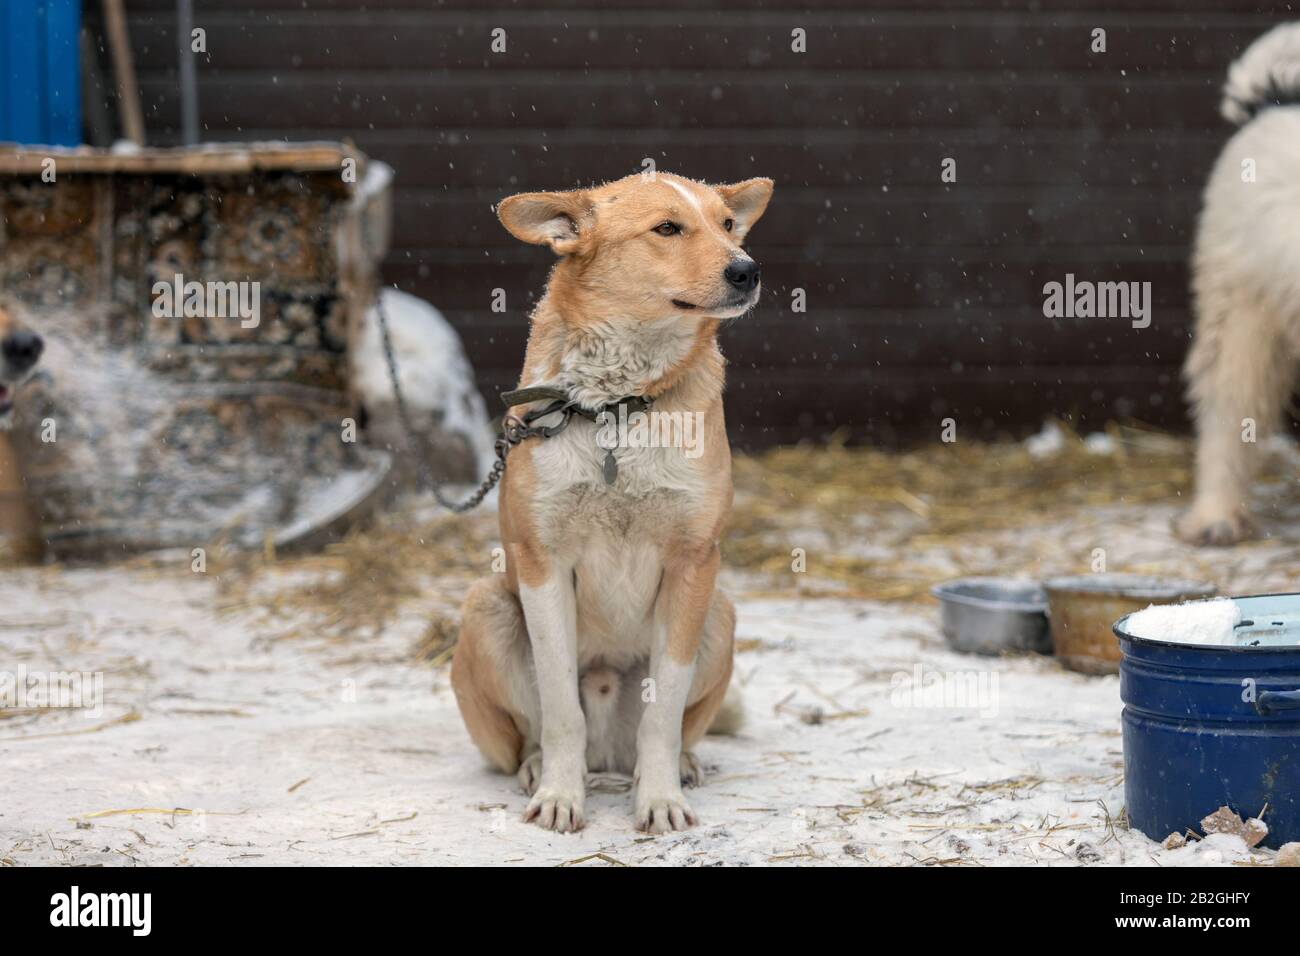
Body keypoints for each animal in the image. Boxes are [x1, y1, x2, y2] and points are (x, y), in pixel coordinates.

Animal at [452, 171, 764, 832]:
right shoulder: (542, 561)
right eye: (667, 228)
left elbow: (663, 712)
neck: (617, 407)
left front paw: (661, 798)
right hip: (484, 604)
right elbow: (559, 707)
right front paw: (560, 795)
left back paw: (674, 768)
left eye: (728, 226)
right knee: (531, 733)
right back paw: (536, 768)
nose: (748, 270)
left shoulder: (695, 561)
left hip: (720, 611)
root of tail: (607, 754)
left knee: (670, 730)